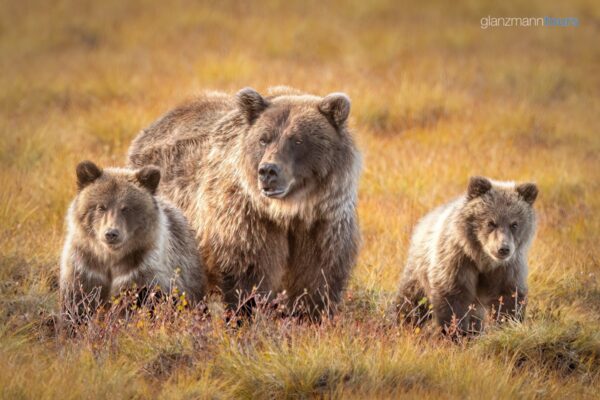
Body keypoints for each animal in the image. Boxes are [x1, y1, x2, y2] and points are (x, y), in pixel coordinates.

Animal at [60, 160, 207, 312]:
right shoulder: (85, 270)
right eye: (101, 207)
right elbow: (77, 303)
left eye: (126, 208)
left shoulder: (142, 273)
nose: (111, 233)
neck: (110, 258)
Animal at [127, 87, 360, 318]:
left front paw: (309, 315)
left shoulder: (323, 225)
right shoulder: (248, 221)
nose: (268, 170)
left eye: (297, 140)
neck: (290, 212)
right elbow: (247, 276)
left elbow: (316, 277)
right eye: (264, 139)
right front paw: (246, 313)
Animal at [396, 177, 536, 332]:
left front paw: (508, 324)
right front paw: (456, 331)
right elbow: (453, 297)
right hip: (420, 267)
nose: (503, 248)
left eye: (514, 224)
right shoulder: (458, 260)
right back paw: (402, 321)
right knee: (412, 299)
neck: (483, 260)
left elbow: (508, 298)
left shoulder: (507, 268)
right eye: (491, 222)